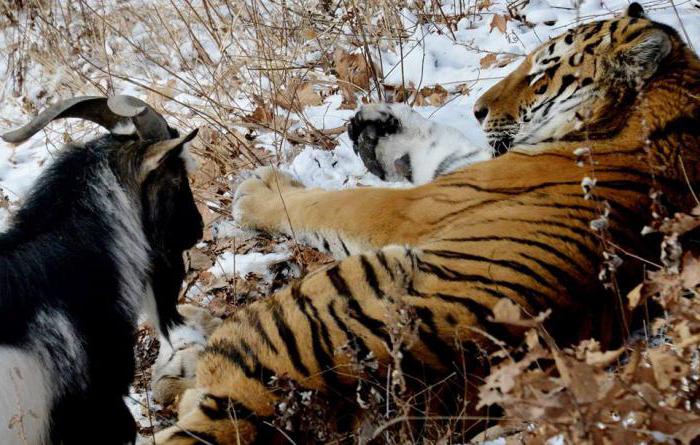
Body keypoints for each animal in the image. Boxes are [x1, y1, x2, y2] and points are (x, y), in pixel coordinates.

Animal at [149, 5, 700, 442]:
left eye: (540, 75)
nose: (478, 109)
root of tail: (274, 410)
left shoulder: (416, 207)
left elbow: (331, 205)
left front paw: (257, 193)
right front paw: (379, 124)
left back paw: (180, 343)